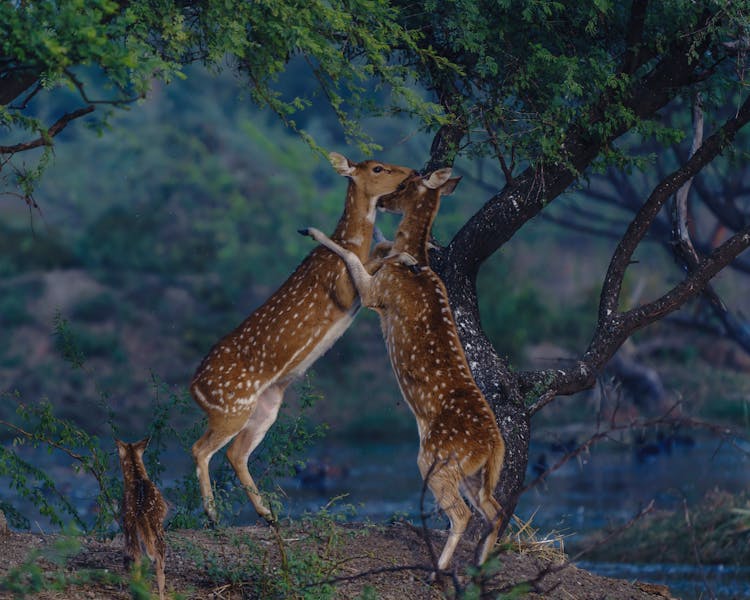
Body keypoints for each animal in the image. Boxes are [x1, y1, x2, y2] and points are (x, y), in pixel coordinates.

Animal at [116, 436, 167, 600]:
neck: (137, 477)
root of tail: (141, 511)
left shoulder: (124, 518)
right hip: (156, 526)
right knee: (158, 560)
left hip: (132, 523)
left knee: (137, 555)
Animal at [189, 152, 418, 524]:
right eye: (377, 168)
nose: (413, 171)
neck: (350, 241)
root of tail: (193, 388)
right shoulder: (342, 287)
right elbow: (370, 261)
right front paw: (407, 257)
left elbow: (380, 249)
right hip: (230, 408)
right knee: (201, 448)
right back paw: (213, 514)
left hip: (264, 407)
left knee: (235, 453)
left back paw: (268, 513)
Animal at [302, 168, 508, 572]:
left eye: (409, 182)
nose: (383, 201)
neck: (415, 263)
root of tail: (494, 444)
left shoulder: (377, 293)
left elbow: (353, 258)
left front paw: (314, 232)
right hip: (476, 472)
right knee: (494, 509)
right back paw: (478, 566)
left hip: (437, 457)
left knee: (462, 513)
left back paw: (439, 569)